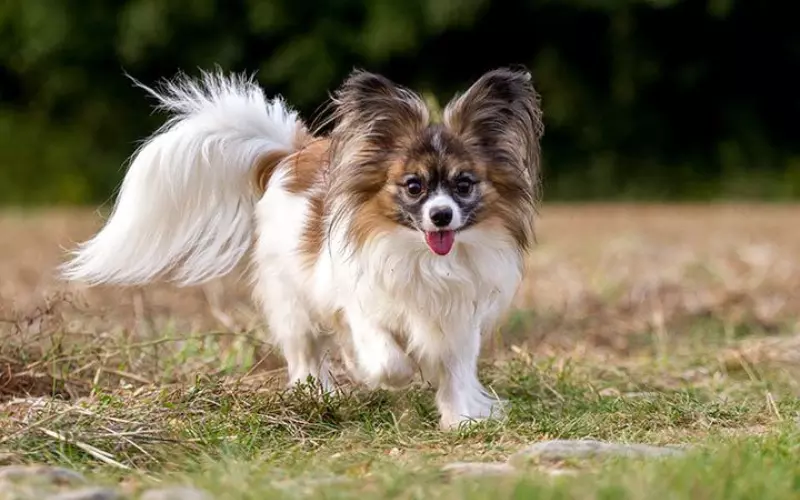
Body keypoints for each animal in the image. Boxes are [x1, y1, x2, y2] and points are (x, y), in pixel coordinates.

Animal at [62, 66, 544, 430]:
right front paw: (387, 372)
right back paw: (315, 392)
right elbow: (387, 358)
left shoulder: (460, 322)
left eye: (464, 185)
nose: (441, 215)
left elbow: (456, 369)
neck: (424, 258)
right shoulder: (359, 305)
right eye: (414, 187)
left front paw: (464, 419)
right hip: (291, 301)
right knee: (305, 351)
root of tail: (289, 155)